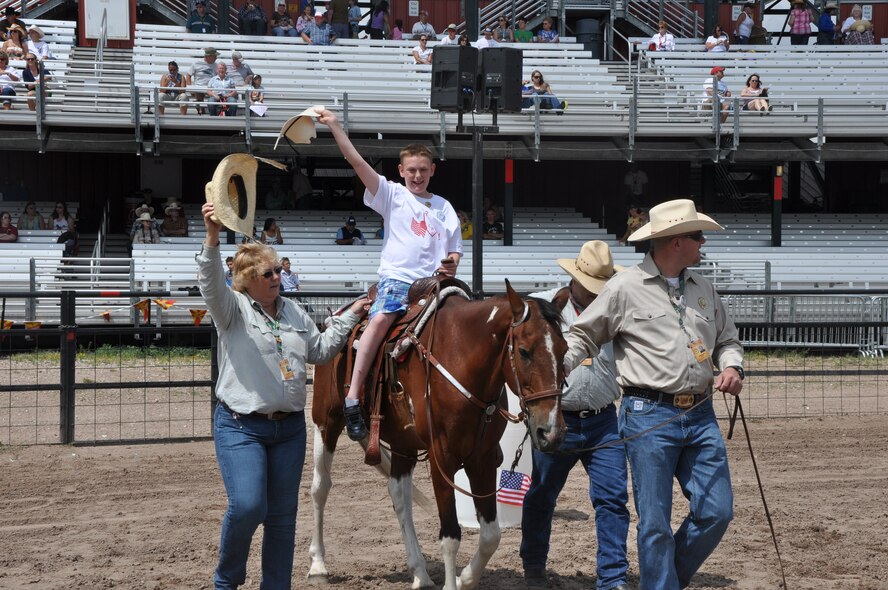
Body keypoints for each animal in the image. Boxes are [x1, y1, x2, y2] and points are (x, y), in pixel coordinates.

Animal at [308, 281, 567, 590]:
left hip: (403, 444)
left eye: (564, 350)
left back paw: (420, 573)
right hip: (326, 421)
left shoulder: (482, 457)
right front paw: (453, 581)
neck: (460, 357)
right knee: (321, 487)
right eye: (525, 351)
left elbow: (491, 535)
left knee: (399, 495)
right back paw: (318, 564)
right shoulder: (441, 458)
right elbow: (451, 536)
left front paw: (465, 578)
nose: (551, 431)